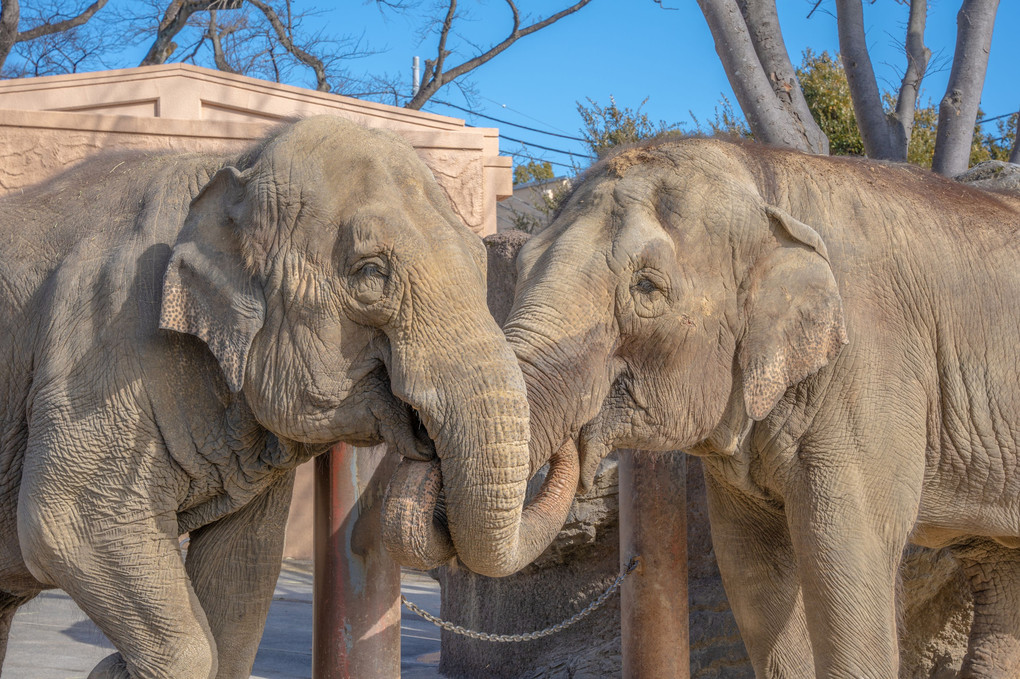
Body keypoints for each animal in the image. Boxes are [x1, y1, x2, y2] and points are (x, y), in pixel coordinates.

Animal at [0, 113, 575, 672]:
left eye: (481, 266)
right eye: (371, 273)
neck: (232, 166)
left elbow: (242, 578)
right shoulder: (98, 347)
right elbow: (69, 524)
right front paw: (117, 667)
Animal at [395, 136, 1020, 672]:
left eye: (647, 287)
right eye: (520, 267)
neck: (766, 180)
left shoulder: (873, 366)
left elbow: (848, 557)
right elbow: (753, 574)